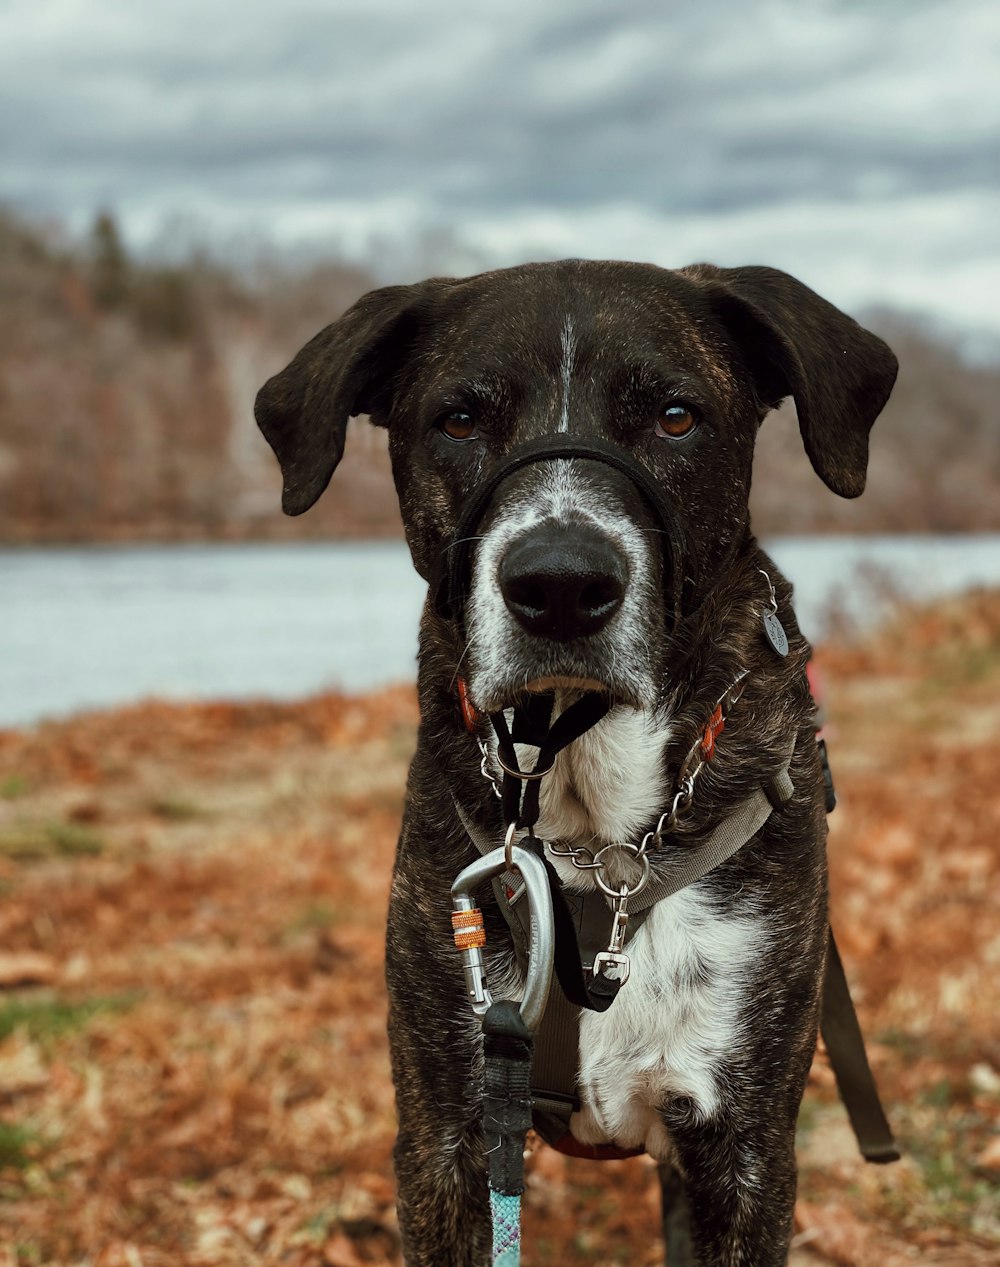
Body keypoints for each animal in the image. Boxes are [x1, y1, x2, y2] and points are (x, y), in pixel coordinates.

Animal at [253, 259, 892, 1267]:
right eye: (459, 419)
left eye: (676, 416)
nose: (559, 583)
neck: (599, 839)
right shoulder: (445, 1133)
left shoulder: (744, 1152)